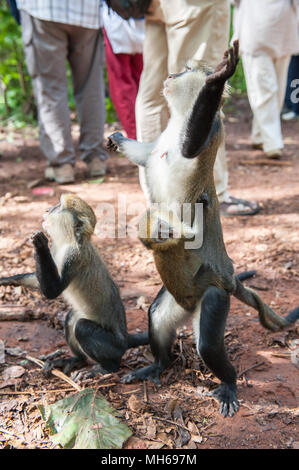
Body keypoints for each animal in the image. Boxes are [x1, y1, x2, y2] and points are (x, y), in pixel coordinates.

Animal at [0, 194, 148, 374]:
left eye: (57, 207)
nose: (47, 209)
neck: (68, 240)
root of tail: (125, 338)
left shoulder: (74, 257)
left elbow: (52, 291)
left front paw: (40, 244)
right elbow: (41, 284)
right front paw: (7, 280)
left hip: (115, 347)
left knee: (82, 327)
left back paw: (108, 368)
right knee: (71, 319)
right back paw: (77, 360)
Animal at [108, 39, 299, 414]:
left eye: (185, 70)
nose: (170, 74)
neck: (178, 119)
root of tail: (227, 275)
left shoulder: (206, 131)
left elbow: (191, 143)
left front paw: (220, 76)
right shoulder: (157, 145)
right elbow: (143, 155)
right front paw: (118, 137)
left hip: (211, 292)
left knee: (209, 345)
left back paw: (228, 383)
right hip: (179, 298)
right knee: (157, 315)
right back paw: (157, 364)